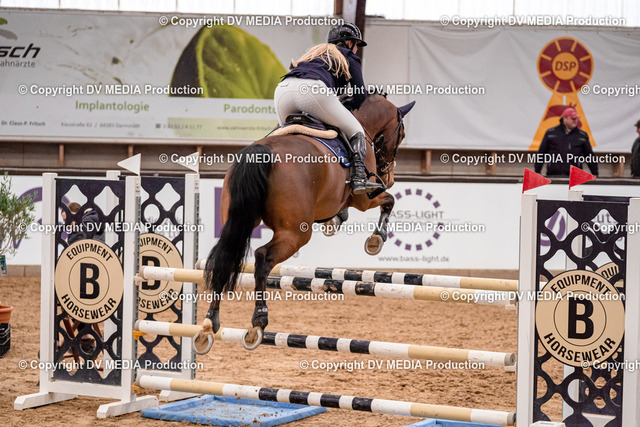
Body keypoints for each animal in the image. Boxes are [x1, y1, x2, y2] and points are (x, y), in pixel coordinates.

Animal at [200, 93, 415, 349]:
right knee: (262, 258)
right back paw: (258, 321)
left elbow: (344, 210)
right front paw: (376, 240)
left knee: (224, 258)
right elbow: (389, 201)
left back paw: (209, 323)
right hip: (296, 233)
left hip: (236, 222)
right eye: (402, 134)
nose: (389, 177)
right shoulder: (363, 197)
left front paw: (335, 221)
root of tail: (262, 152)